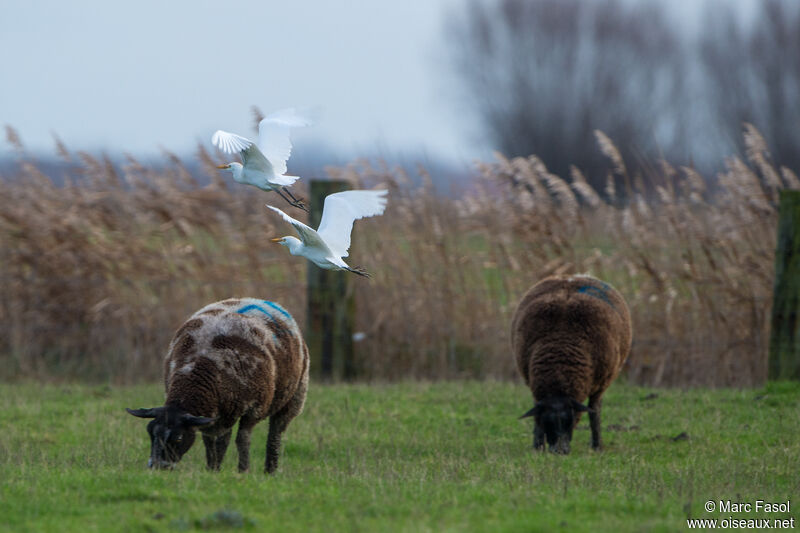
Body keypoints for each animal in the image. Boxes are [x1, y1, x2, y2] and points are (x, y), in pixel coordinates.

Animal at [126, 296, 308, 474]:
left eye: (178, 438)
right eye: (150, 433)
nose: (157, 467)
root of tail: (258, 299)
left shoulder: (255, 407)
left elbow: (242, 439)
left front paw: (243, 471)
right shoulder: (214, 412)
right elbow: (212, 441)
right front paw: (212, 469)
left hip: (294, 396)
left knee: (275, 434)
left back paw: (270, 470)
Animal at [512, 274, 632, 454]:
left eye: (572, 420)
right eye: (546, 422)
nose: (559, 451)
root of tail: (572, 277)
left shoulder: (600, 384)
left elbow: (594, 412)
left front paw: (597, 446)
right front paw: (538, 447)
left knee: (595, 408)